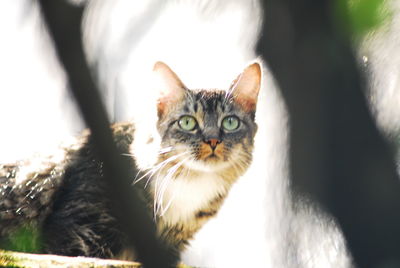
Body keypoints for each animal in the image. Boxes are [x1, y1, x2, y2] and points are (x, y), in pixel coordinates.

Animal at [0, 60, 260, 260]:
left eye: (230, 122)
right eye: (187, 122)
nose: (212, 140)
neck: (188, 185)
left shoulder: (169, 247)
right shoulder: (80, 232)